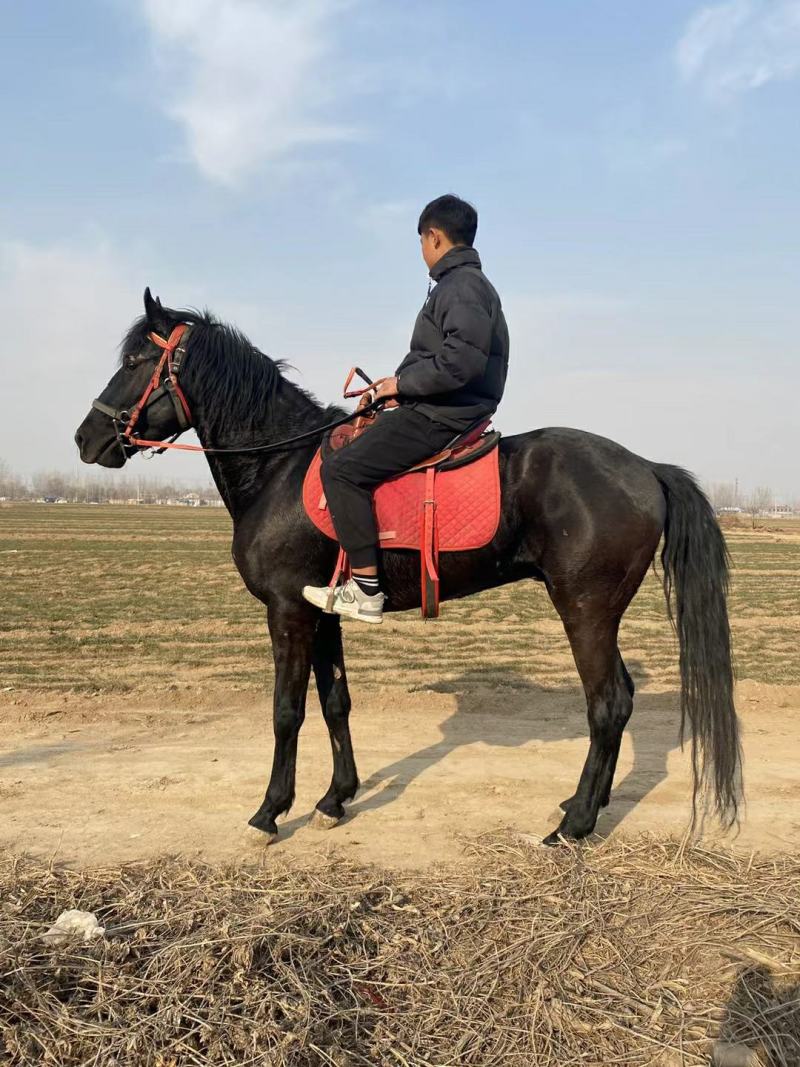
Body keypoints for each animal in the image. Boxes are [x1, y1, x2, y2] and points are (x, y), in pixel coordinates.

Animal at [74, 289, 742, 846]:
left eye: (135, 359)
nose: (86, 438)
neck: (279, 469)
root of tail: (645, 467)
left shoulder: (288, 612)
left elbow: (287, 711)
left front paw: (270, 812)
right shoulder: (321, 613)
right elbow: (335, 702)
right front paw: (335, 800)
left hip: (585, 610)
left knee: (607, 704)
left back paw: (574, 826)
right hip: (598, 613)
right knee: (621, 699)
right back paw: (586, 806)